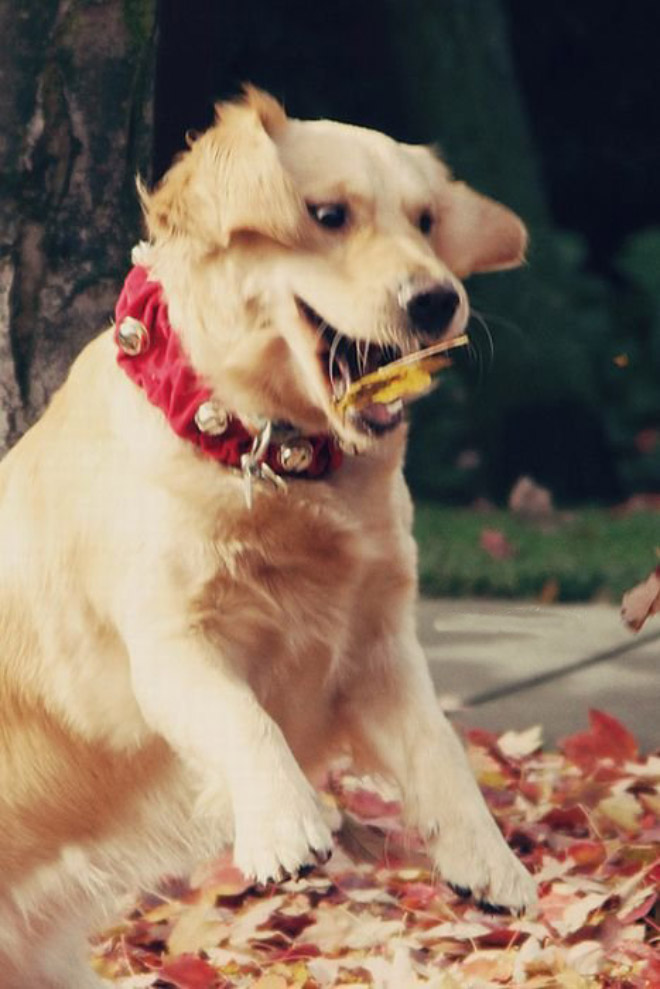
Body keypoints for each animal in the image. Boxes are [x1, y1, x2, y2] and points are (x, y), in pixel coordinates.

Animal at [0, 89, 536, 984]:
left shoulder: (378, 647)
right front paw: (285, 821)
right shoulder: (169, 644)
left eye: (427, 220)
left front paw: (489, 859)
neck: (275, 458)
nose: (439, 300)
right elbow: (241, 717)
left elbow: (442, 748)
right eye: (327, 215)